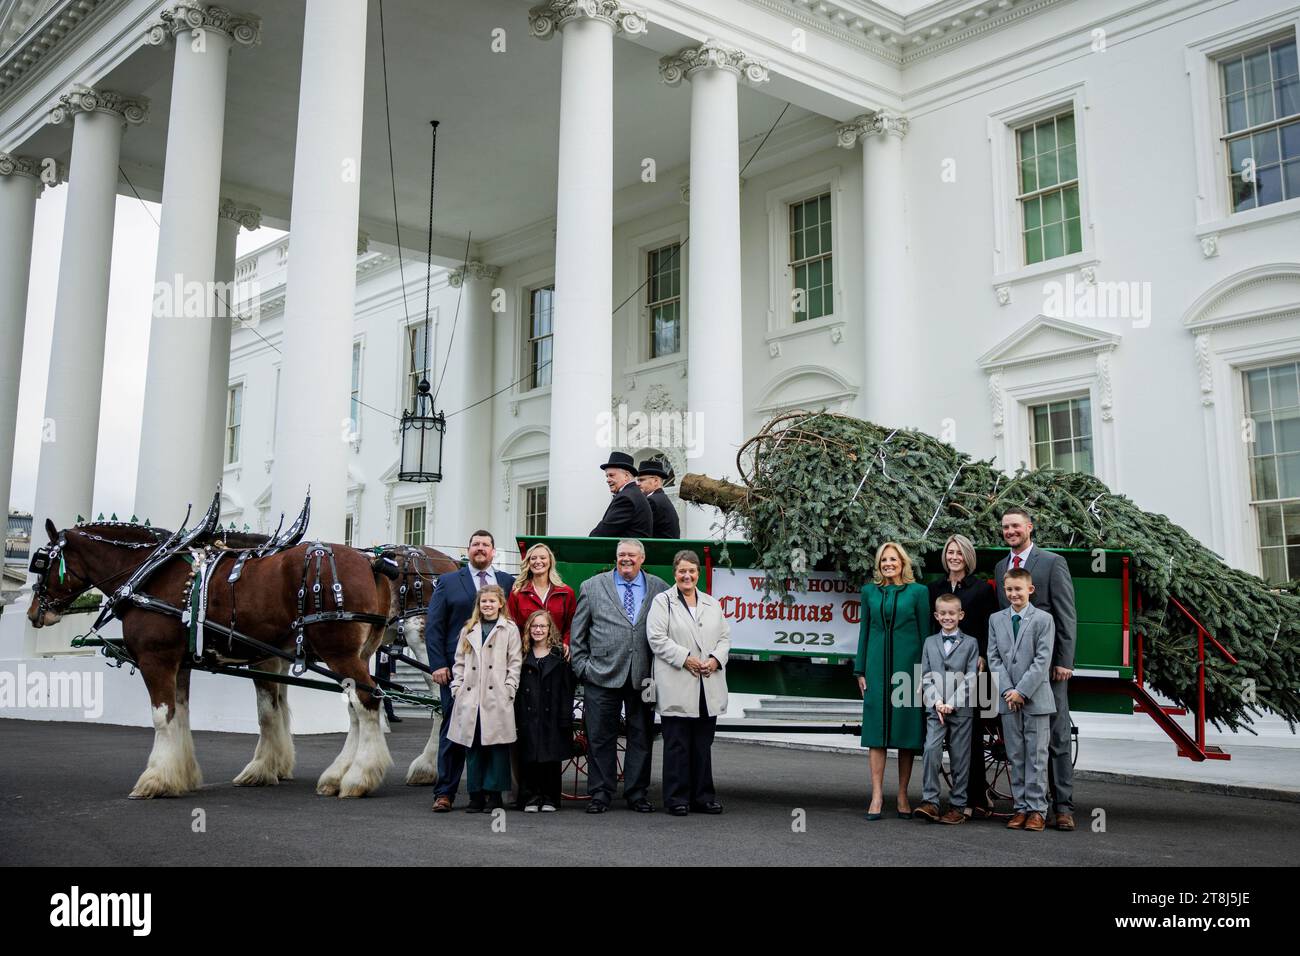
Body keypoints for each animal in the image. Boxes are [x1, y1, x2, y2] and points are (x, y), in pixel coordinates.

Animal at [27, 520, 392, 796]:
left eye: (42, 564)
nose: (33, 614)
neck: (152, 574)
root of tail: (370, 562)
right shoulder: (181, 663)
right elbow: (182, 713)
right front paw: (180, 775)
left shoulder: (155, 659)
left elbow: (163, 716)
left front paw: (154, 779)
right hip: (355, 654)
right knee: (356, 707)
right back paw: (338, 775)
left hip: (339, 652)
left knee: (367, 702)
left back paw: (359, 776)